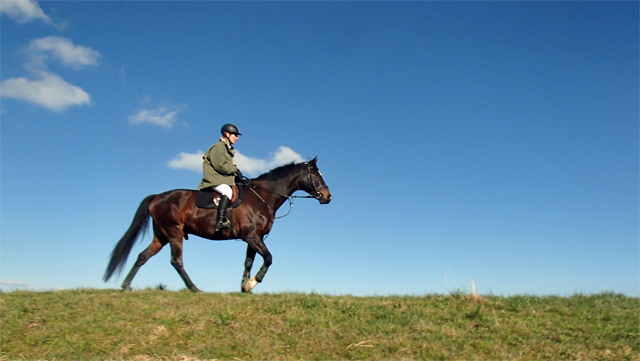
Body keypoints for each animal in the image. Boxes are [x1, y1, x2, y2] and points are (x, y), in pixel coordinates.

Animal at [102, 156, 332, 292]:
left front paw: (244, 286)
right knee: (177, 261)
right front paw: (252, 282)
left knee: (143, 256)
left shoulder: (253, 238)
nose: (328, 196)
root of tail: (157, 197)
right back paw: (195, 289)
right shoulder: (252, 236)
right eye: (316, 174)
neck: (263, 196)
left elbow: (248, 262)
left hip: (161, 235)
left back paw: (126, 286)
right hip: (174, 232)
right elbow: (268, 258)